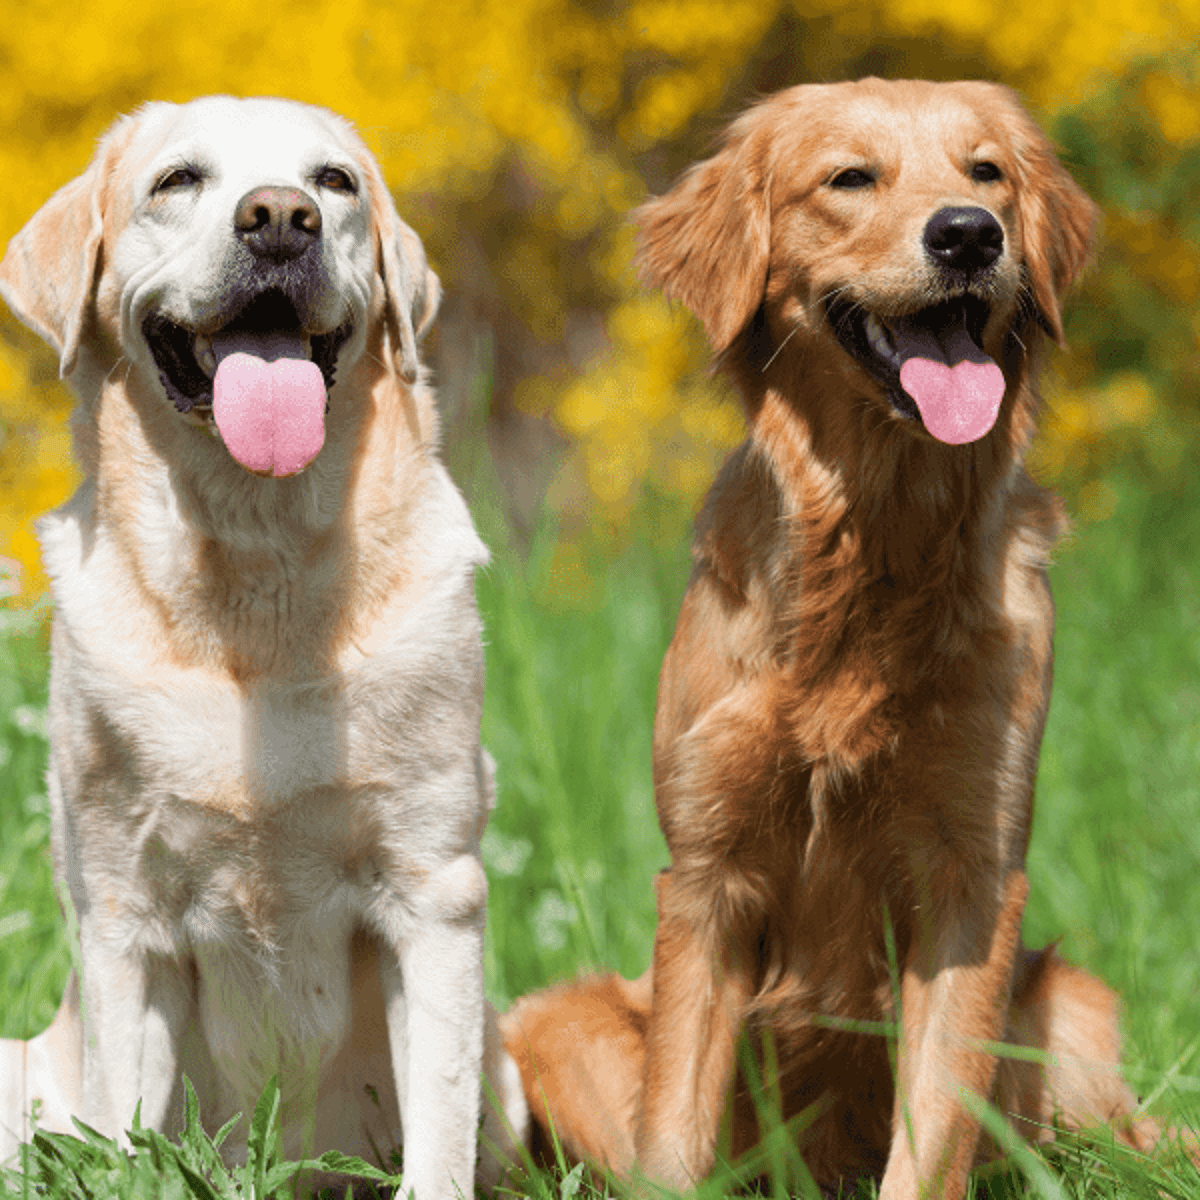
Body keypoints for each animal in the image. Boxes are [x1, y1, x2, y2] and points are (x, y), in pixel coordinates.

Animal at [0, 96, 530, 1200]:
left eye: (336, 182)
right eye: (177, 181)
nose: (282, 218)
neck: (256, 564)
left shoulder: (435, 895)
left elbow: (437, 1135)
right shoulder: (123, 914)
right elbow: (126, 1130)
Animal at [501, 79, 1166, 1195]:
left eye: (987, 172)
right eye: (850, 178)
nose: (969, 234)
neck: (875, 545)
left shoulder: (972, 879)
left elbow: (932, 1135)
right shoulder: (708, 878)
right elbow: (671, 1136)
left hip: (1070, 1011)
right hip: (554, 1022)